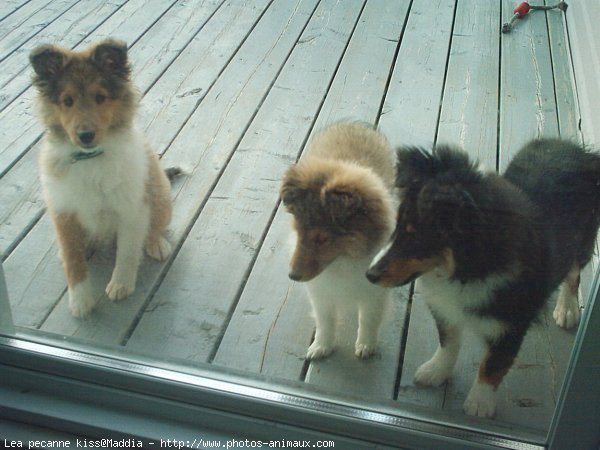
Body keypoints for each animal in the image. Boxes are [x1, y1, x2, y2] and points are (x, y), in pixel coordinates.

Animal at [31, 40, 176, 318]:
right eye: (67, 101)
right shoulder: (63, 211)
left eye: (100, 98)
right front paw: (80, 300)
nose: (86, 135)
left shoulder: (132, 208)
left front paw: (121, 285)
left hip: (159, 194)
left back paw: (156, 244)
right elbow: (74, 260)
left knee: (155, 227)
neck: (90, 159)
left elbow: (127, 251)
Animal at [282, 122, 398, 358]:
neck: (344, 260)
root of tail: (353, 124)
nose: (293, 276)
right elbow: (325, 321)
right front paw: (321, 346)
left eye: (322, 239)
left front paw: (365, 346)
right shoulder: (321, 292)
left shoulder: (374, 294)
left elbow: (368, 320)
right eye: (298, 231)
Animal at [366, 140, 600, 418]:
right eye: (397, 228)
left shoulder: (511, 325)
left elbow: (493, 364)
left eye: (417, 238)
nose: (369, 275)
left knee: (573, 273)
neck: (470, 271)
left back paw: (567, 309)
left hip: (581, 239)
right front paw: (435, 371)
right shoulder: (445, 308)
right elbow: (448, 341)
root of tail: (578, 150)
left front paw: (479, 404)